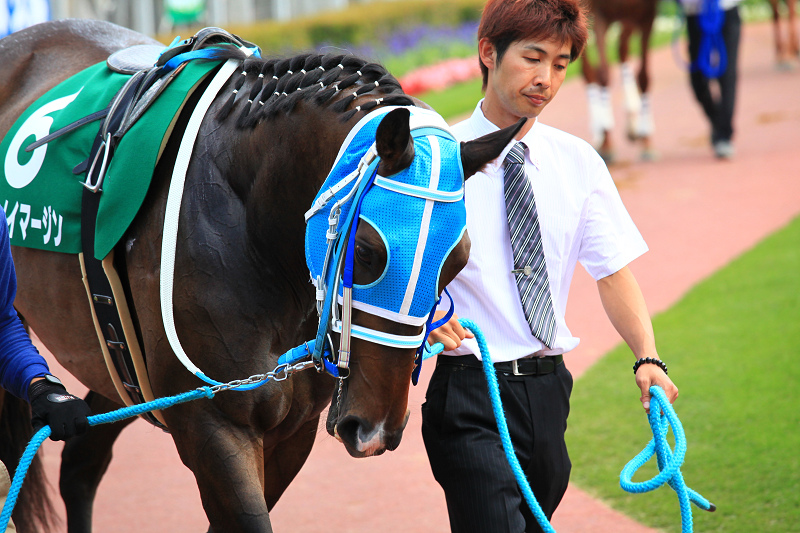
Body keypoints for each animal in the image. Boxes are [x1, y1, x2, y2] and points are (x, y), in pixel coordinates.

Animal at [0, 18, 520, 528]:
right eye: (368, 253)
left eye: (457, 263)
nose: (375, 429)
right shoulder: (212, 425)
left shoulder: (294, 428)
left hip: (118, 361)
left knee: (81, 461)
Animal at [580, 0, 660, 162]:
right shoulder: (599, 15)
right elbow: (603, 74)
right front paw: (607, 143)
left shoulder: (647, 13)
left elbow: (644, 76)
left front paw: (646, 141)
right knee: (588, 72)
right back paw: (599, 130)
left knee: (622, 48)